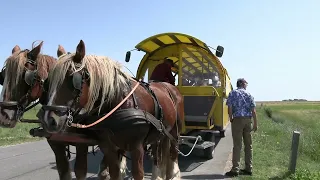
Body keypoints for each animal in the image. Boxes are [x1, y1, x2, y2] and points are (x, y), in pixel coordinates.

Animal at [0, 42, 109, 180]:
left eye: (25, 76)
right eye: (3, 76)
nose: (4, 116)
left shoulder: (82, 144)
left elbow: (80, 171)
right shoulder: (55, 143)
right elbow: (64, 172)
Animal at [41, 39, 184, 180]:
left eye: (72, 78)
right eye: (48, 82)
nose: (49, 120)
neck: (119, 100)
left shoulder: (136, 148)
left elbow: (138, 174)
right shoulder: (109, 148)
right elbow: (114, 173)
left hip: (175, 130)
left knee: (173, 152)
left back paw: (173, 174)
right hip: (161, 132)